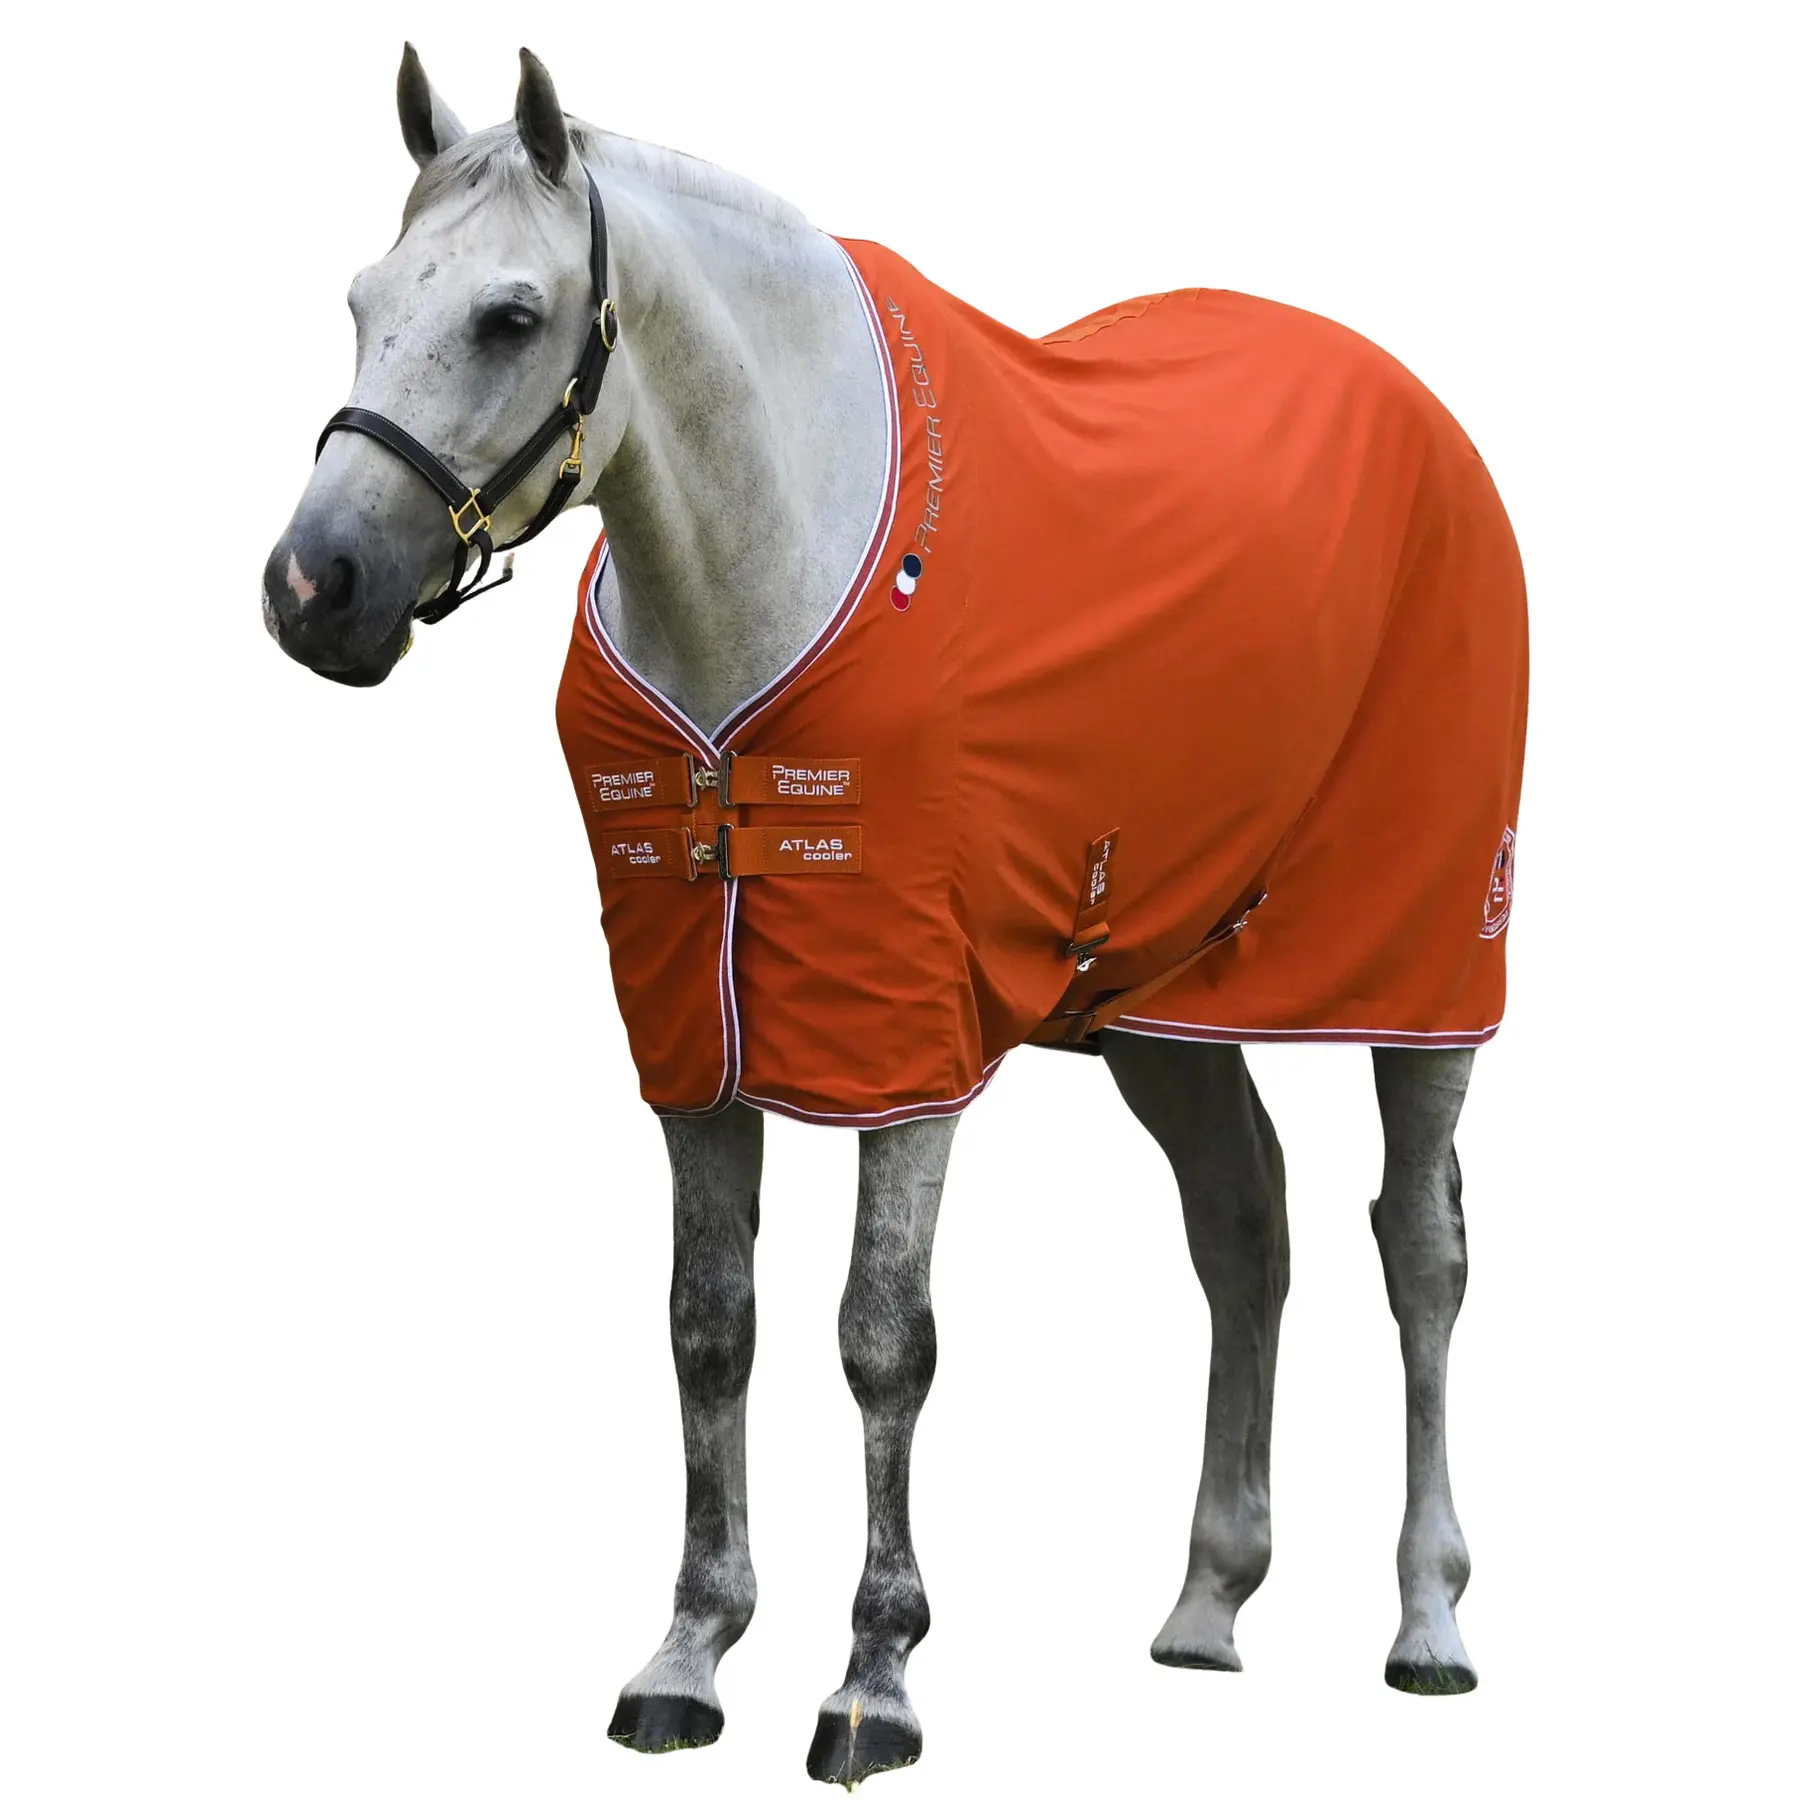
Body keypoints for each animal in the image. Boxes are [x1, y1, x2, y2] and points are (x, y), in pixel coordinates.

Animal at [263, 44, 1525, 1786]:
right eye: (361, 300)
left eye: (513, 316)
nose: (312, 589)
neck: (769, 579)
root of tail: (1421, 414)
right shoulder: (695, 1038)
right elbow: (708, 1327)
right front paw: (688, 1655)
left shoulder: (906, 1037)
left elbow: (882, 1339)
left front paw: (874, 1676)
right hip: (1161, 1008)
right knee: (1242, 1229)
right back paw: (1209, 1602)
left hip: (1427, 969)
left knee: (1420, 1251)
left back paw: (1429, 1618)